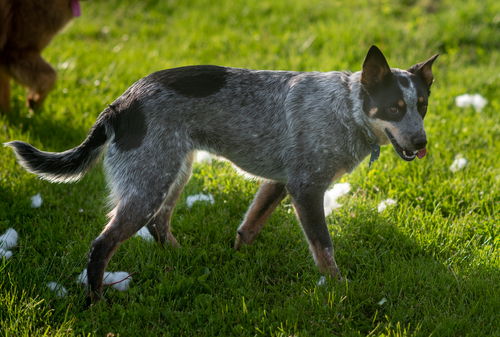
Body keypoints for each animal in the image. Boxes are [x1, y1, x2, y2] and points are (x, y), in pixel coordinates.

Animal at [6, 45, 438, 302]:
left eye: (422, 105)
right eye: (395, 107)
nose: (421, 142)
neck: (346, 110)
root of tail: (119, 105)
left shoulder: (280, 182)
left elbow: (250, 225)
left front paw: (238, 257)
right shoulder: (306, 189)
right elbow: (324, 247)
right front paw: (340, 288)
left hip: (172, 171)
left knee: (159, 224)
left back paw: (184, 257)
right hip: (149, 184)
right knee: (102, 245)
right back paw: (97, 301)